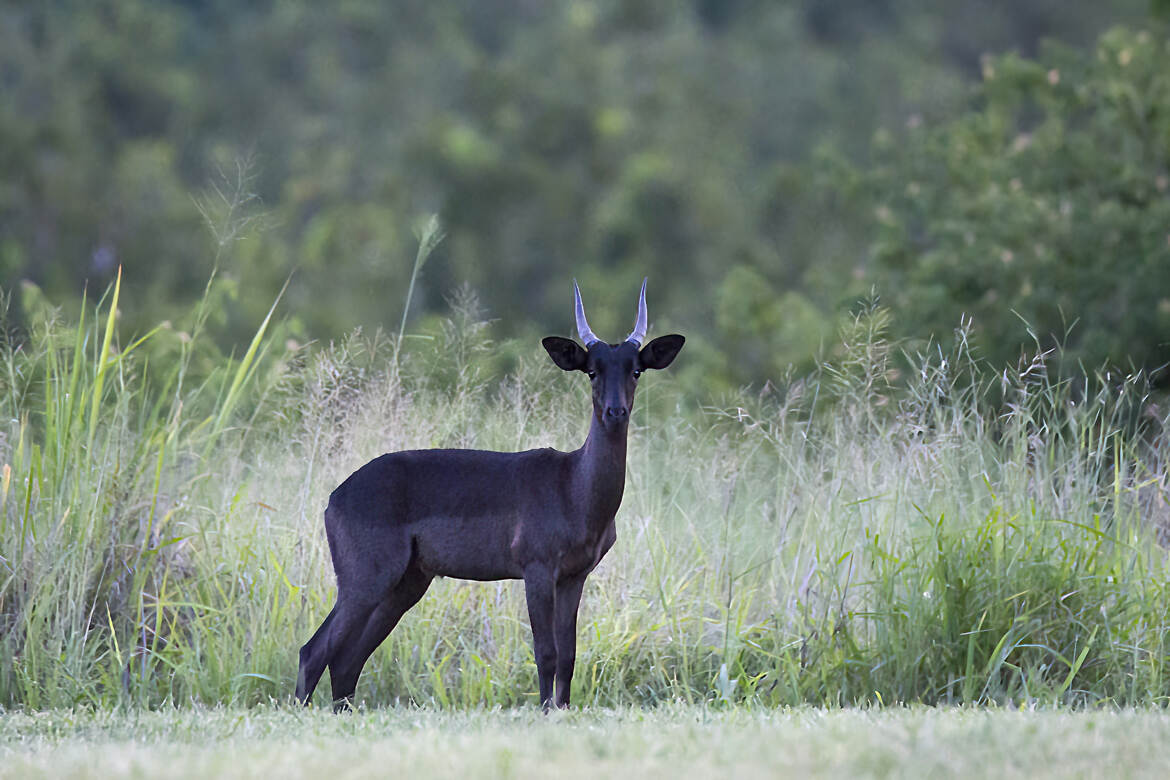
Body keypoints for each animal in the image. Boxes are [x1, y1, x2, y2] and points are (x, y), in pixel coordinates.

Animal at [294, 279, 683, 706]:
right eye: (592, 371)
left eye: (636, 370)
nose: (615, 412)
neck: (575, 488)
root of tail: (334, 497)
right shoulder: (537, 569)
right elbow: (546, 652)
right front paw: (544, 712)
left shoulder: (573, 577)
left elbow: (569, 655)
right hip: (364, 579)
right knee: (314, 650)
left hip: (406, 583)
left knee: (347, 660)